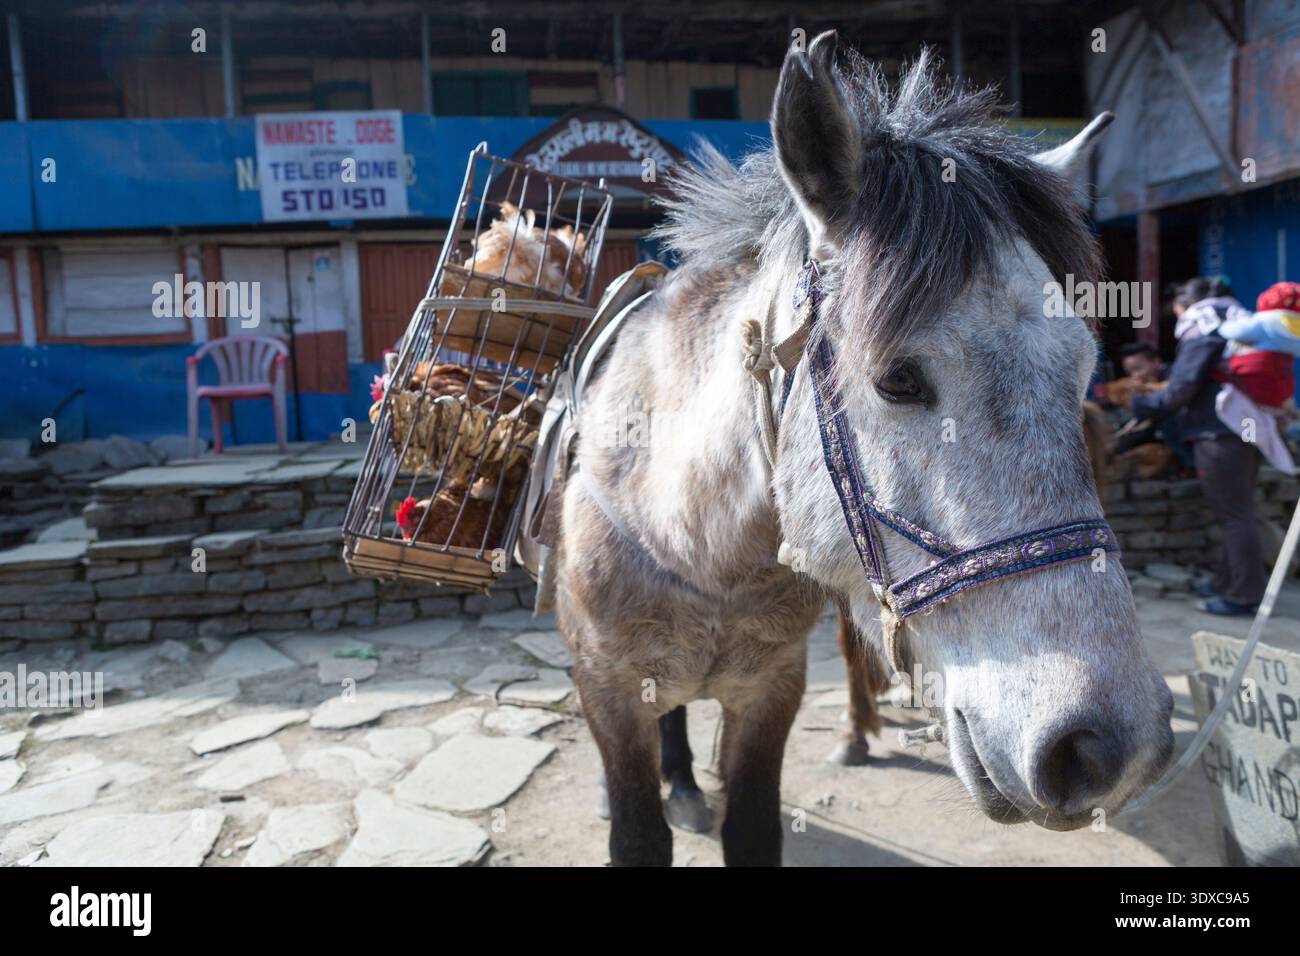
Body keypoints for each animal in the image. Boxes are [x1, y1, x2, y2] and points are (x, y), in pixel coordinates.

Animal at [554, 33, 1174, 866]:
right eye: (897, 380)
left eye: (1082, 371)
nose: (1108, 747)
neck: (694, 542)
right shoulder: (610, 688)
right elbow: (637, 831)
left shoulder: (772, 689)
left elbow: (752, 826)